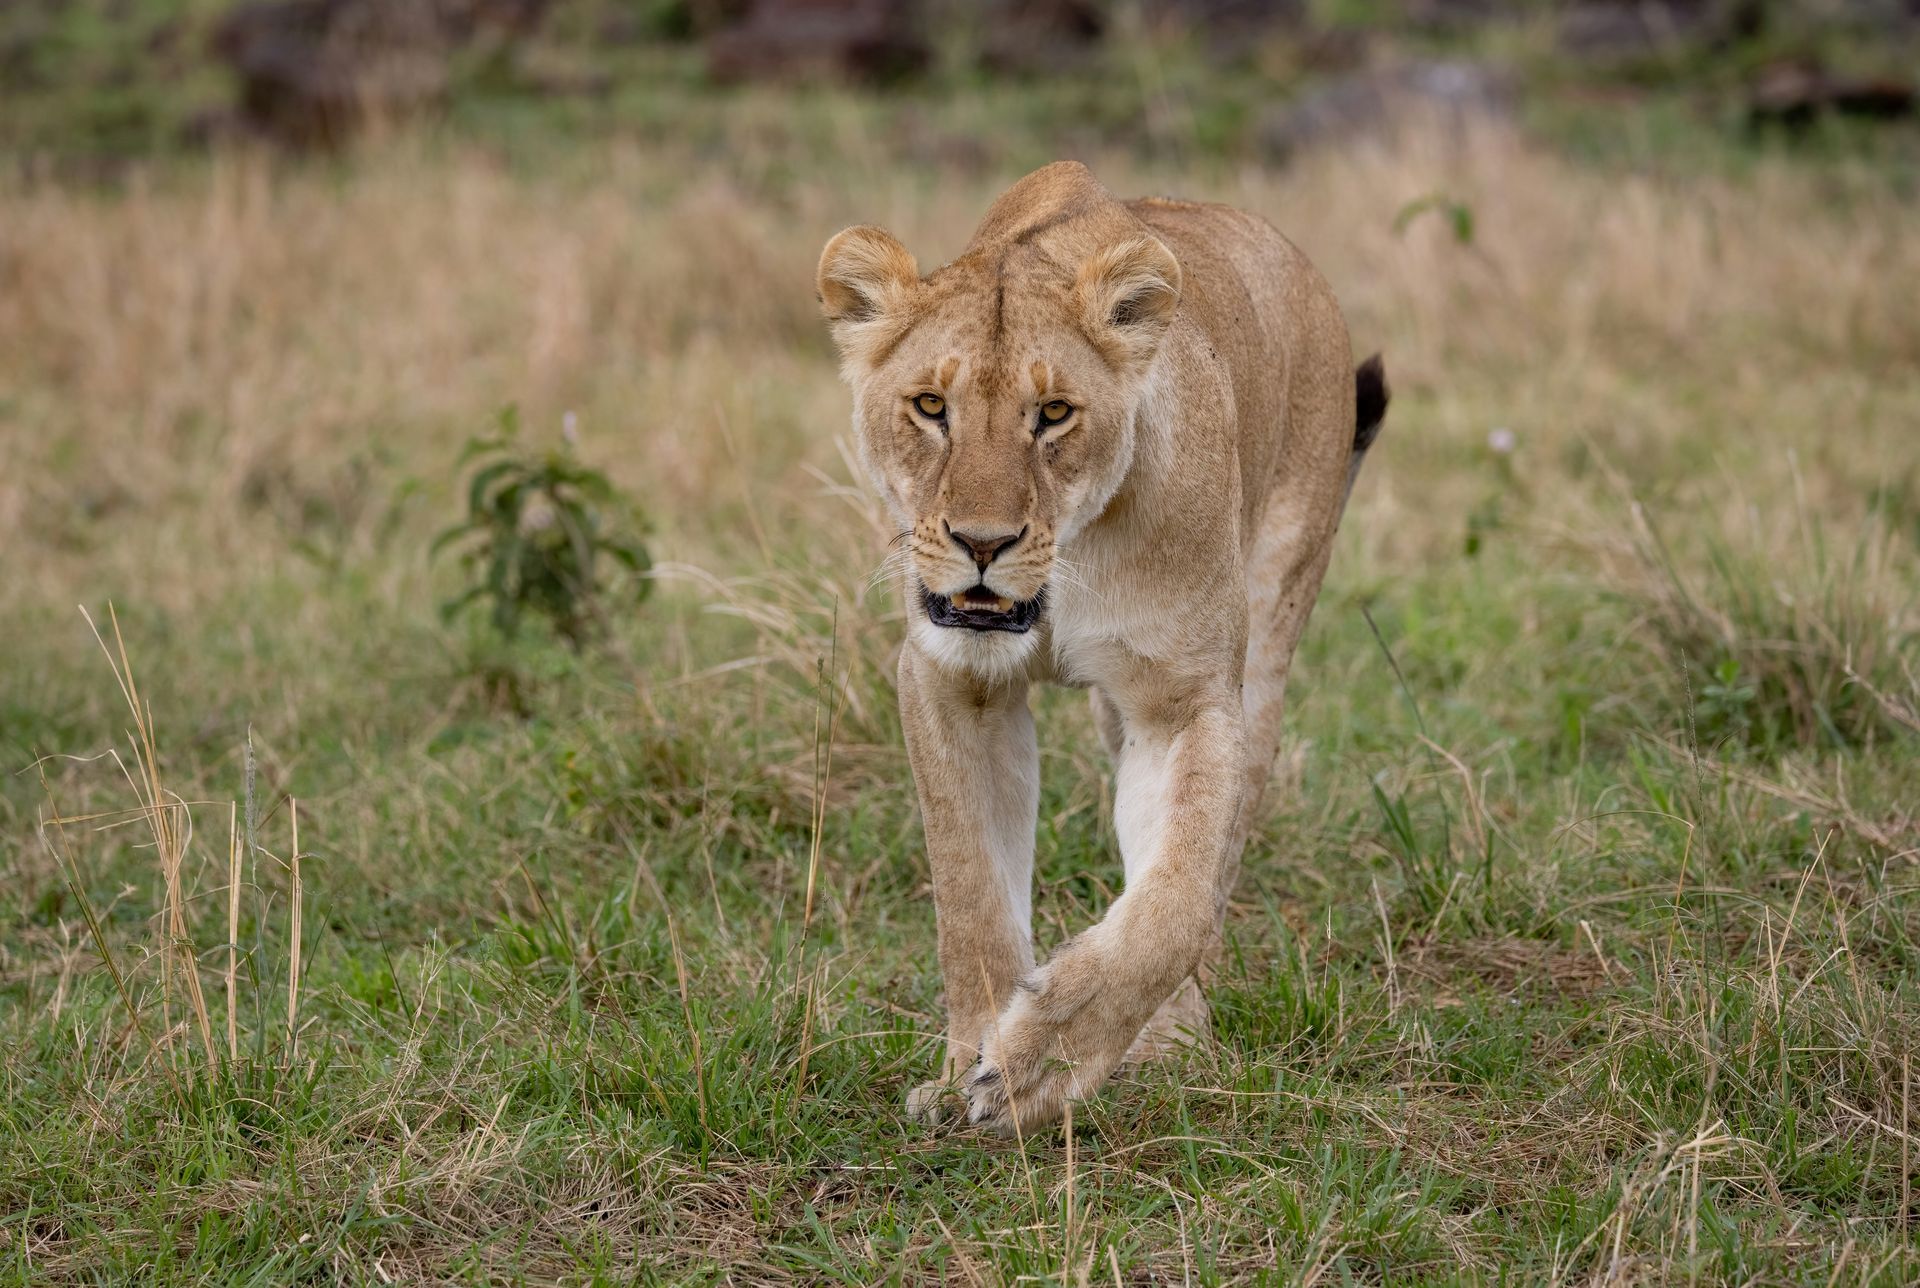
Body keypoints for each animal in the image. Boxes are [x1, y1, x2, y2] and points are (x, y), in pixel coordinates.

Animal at [817, 161, 1387, 1133]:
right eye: (930, 407)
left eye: (1053, 414)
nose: (982, 543)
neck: (1066, 565)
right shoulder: (948, 677)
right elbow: (969, 887)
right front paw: (969, 1064)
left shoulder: (1185, 699)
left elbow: (1175, 900)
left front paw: (1044, 1062)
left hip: (1272, 629)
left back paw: (1172, 1037)